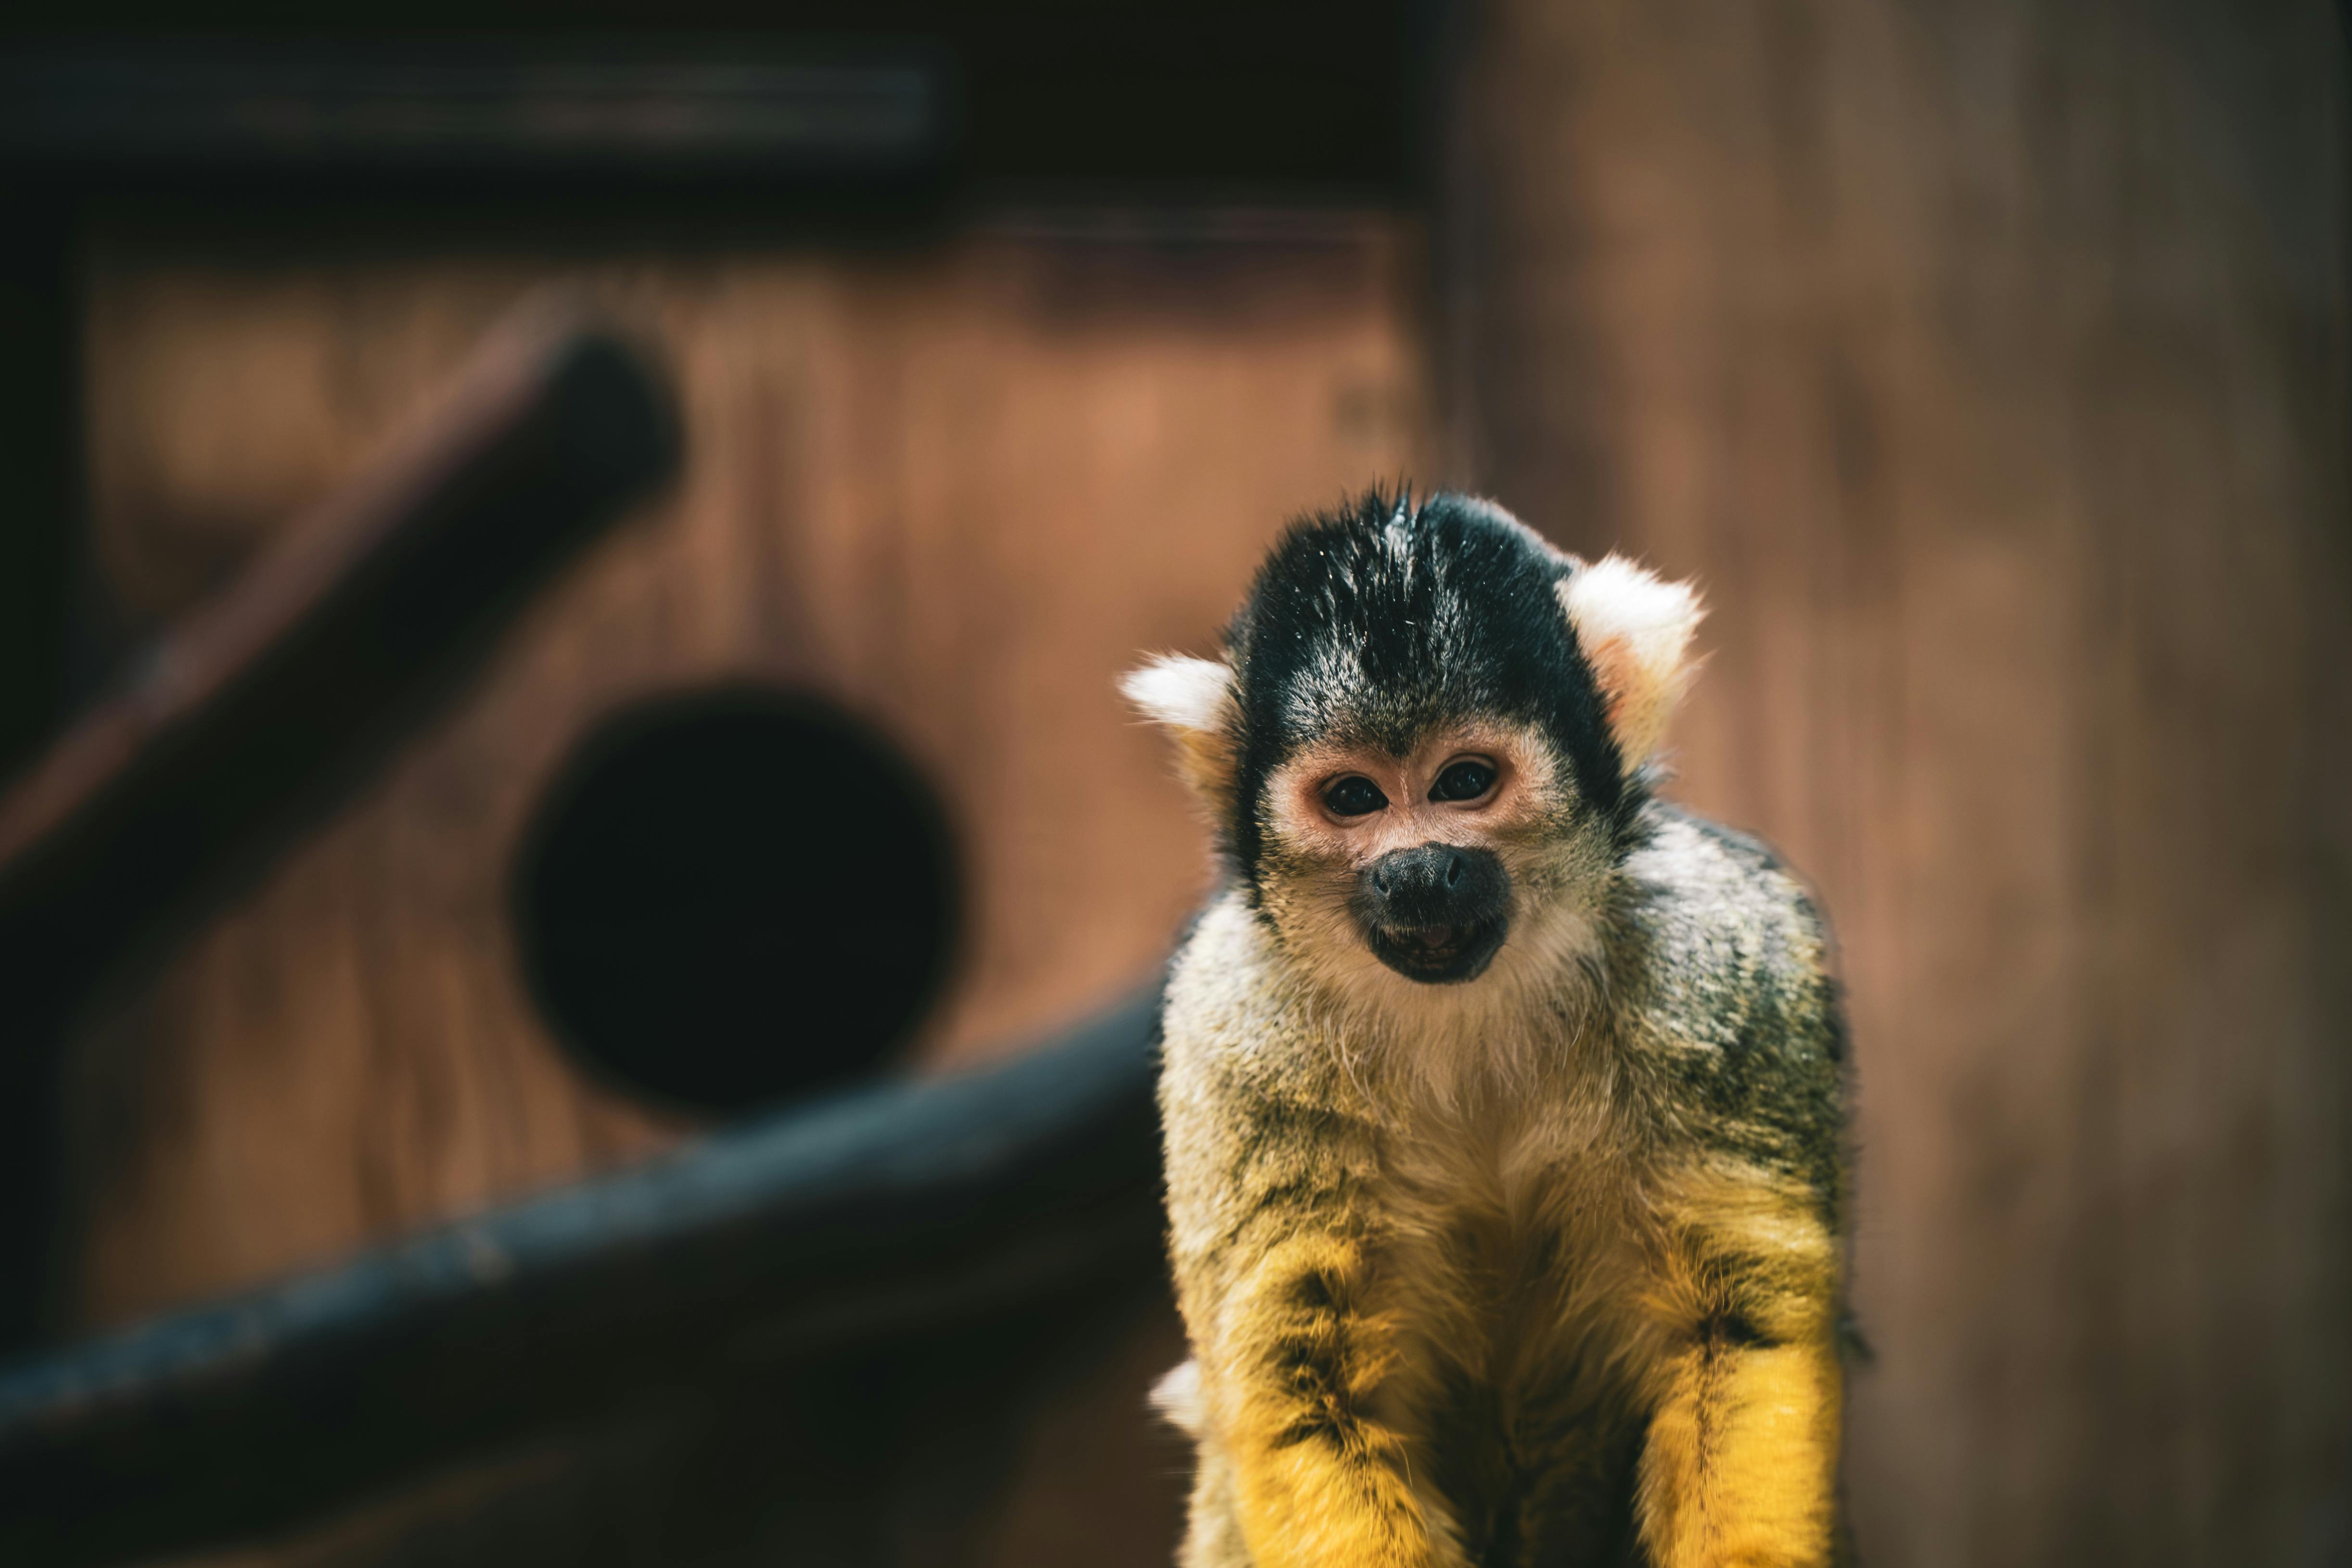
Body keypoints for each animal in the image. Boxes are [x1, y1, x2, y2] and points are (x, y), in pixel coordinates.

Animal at [1129, 494, 1844, 1568]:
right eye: (1352, 798)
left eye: (1464, 780)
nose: (1420, 871)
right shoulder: (1232, 1032)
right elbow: (1300, 1379)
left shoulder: (1716, 967)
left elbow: (1736, 1322)